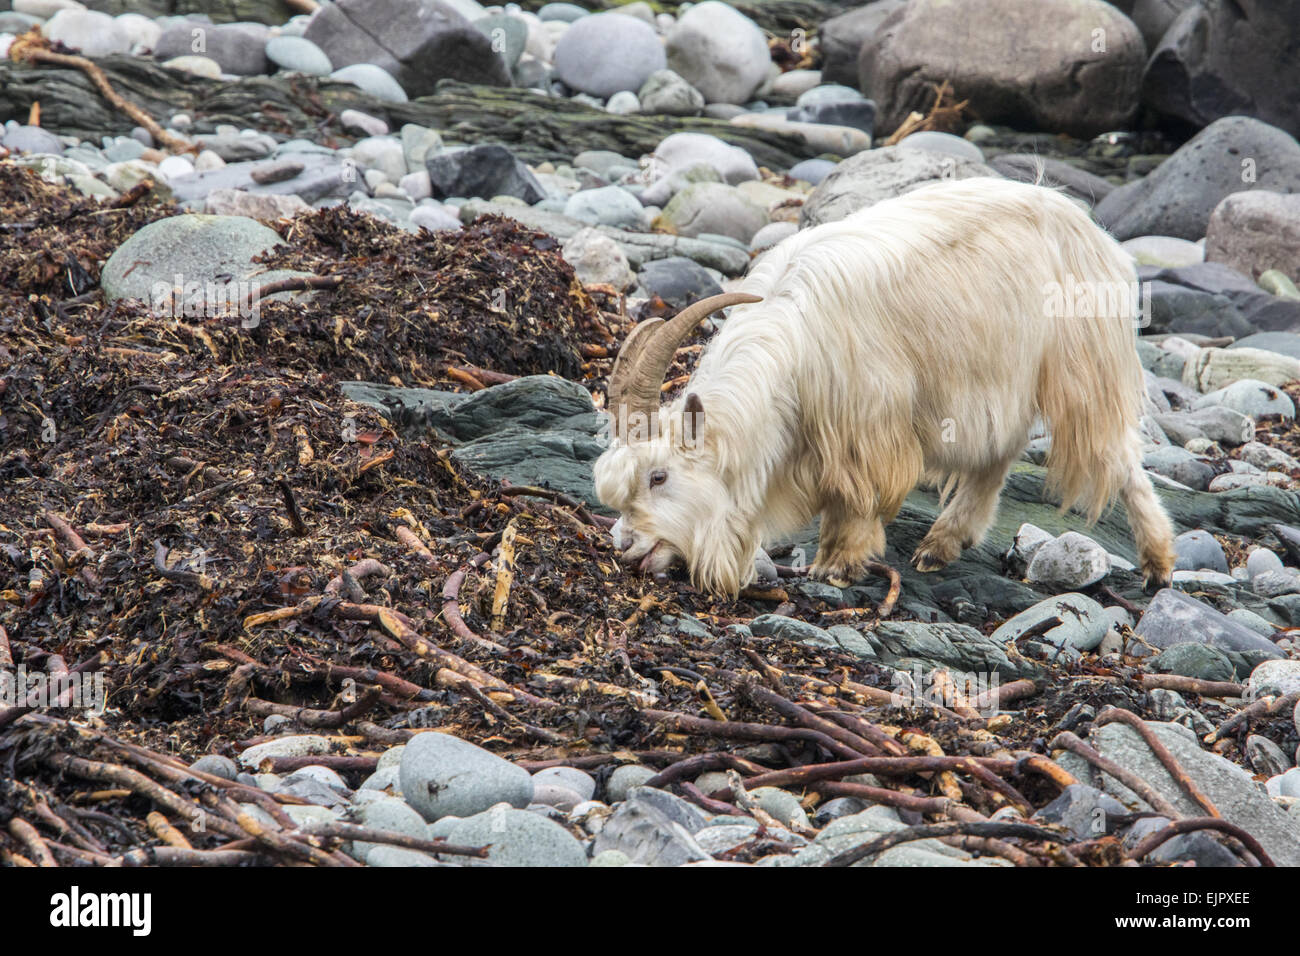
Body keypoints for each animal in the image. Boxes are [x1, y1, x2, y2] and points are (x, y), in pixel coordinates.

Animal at [595, 175, 1180, 595]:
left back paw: (1158, 563)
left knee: (1118, 453)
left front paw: (837, 563)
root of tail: (1090, 230)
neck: (793, 339)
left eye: (659, 476)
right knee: (999, 455)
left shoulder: (867, 426)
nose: (625, 545)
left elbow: (858, 495)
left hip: (1083, 368)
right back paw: (942, 545)